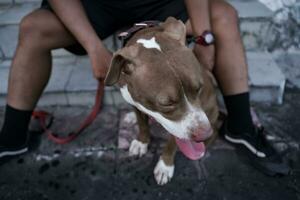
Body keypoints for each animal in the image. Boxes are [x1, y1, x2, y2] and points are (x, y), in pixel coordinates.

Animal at [105, 16, 218, 184]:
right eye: (166, 103)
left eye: (199, 88)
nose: (204, 135)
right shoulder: (135, 101)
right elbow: (142, 124)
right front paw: (142, 142)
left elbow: (173, 142)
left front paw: (165, 166)